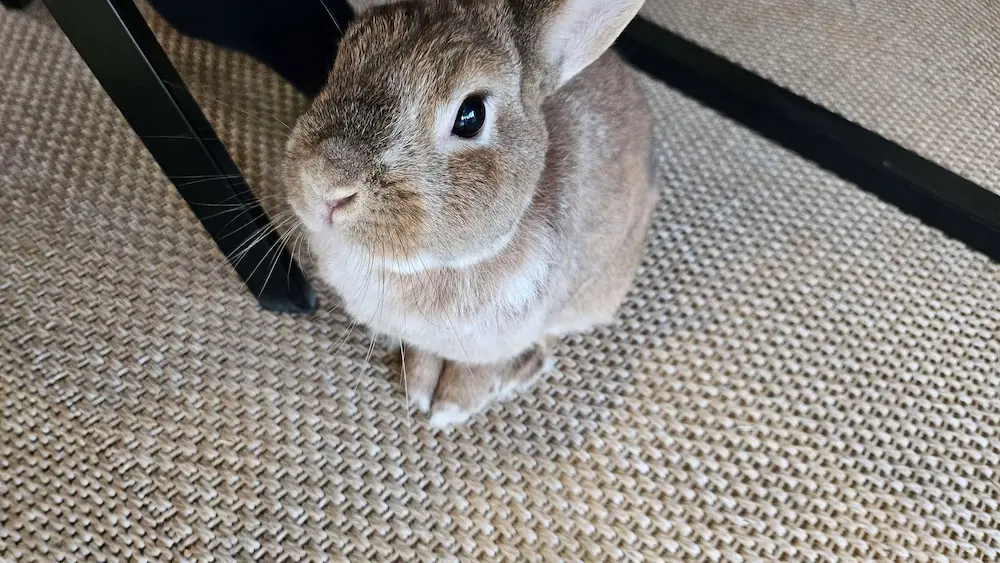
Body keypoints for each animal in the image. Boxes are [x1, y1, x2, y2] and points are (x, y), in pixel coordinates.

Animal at [282, 0, 656, 428]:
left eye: (470, 116)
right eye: (341, 59)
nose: (325, 183)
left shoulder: (500, 337)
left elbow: (475, 369)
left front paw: (451, 408)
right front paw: (418, 388)